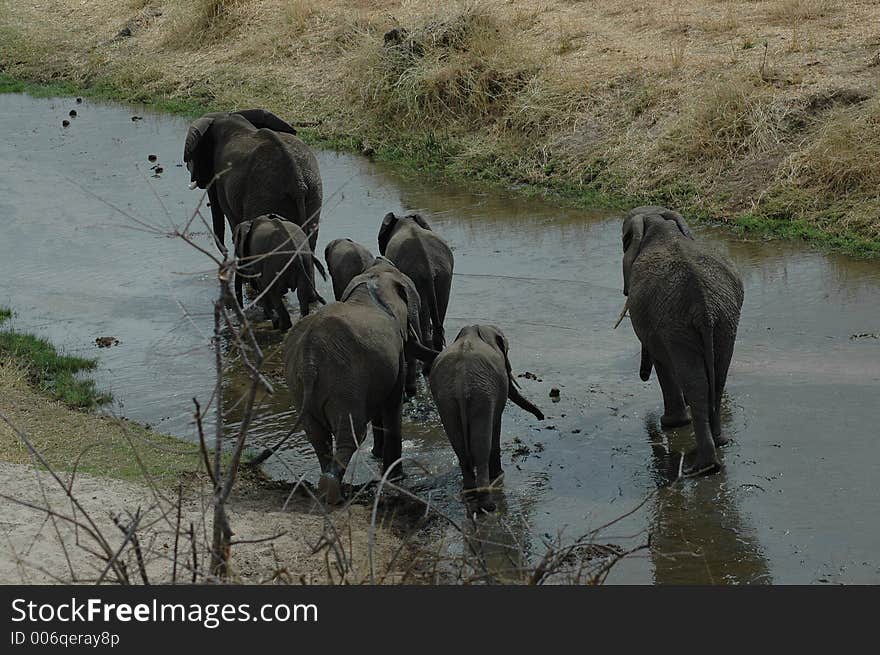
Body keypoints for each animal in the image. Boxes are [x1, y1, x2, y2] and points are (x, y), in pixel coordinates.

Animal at [284, 260, 438, 502]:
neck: (372, 283)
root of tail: (310, 360)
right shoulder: (393, 354)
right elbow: (392, 405)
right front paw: (396, 477)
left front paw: (377, 455)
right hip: (344, 382)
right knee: (352, 433)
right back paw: (333, 492)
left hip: (300, 386)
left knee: (317, 436)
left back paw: (325, 486)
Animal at [428, 326, 544, 516]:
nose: (541, 417)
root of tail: (461, 383)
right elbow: (496, 424)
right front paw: (498, 474)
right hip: (481, 396)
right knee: (481, 447)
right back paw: (488, 504)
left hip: (447, 401)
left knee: (460, 449)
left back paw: (470, 496)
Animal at [620, 206, 744, 476]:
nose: (642, 376)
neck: (659, 223)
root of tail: (705, 306)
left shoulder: (656, 326)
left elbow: (662, 362)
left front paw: (671, 424)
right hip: (725, 319)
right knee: (717, 377)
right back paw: (720, 443)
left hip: (677, 323)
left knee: (696, 381)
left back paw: (702, 467)